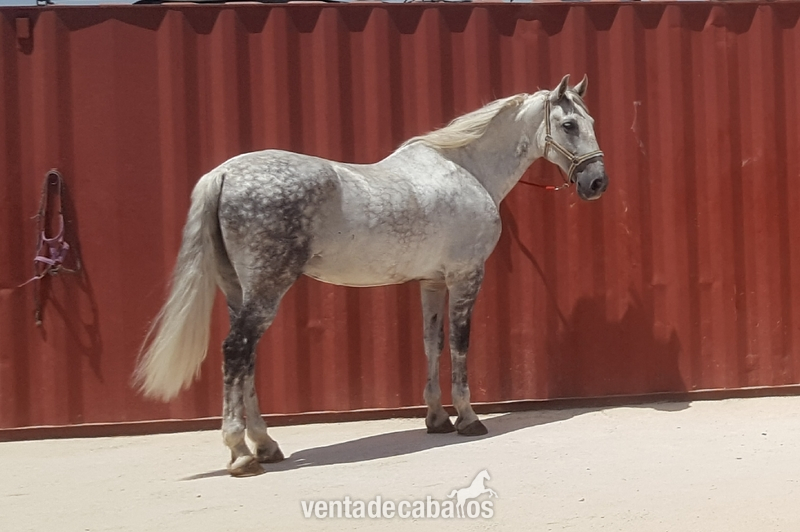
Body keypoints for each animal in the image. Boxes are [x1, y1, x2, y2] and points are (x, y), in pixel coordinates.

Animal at [134, 74, 608, 477]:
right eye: (568, 124)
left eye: (590, 122)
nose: (596, 182)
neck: (467, 170)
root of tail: (224, 173)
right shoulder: (465, 277)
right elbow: (459, 345)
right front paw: (468, 418)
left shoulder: (431, 282)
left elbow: (431, 343)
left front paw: (437, 418)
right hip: (267, 289)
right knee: (236, 351)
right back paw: (240, 454)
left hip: (240, 291)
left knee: (246, 358)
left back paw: (266, 446)